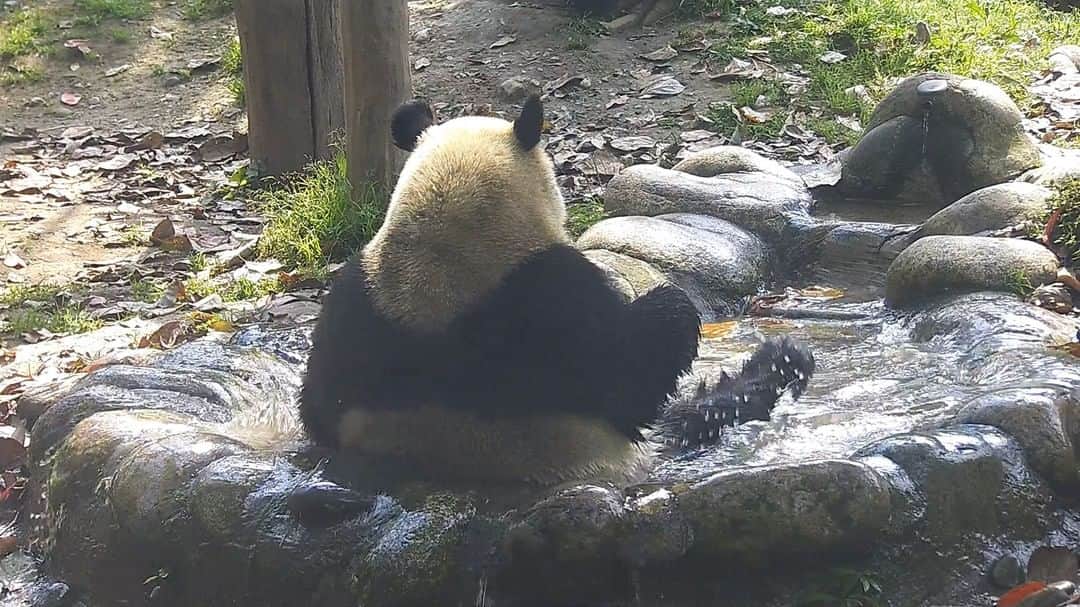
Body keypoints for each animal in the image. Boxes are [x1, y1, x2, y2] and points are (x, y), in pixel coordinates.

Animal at [298, 94, 815, 488]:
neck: (438, 256)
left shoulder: (355, 300)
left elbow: (318, 408)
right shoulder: (554, 301)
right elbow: (628, 377)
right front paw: (671, 310)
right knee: (696, 416)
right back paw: (779, 366)